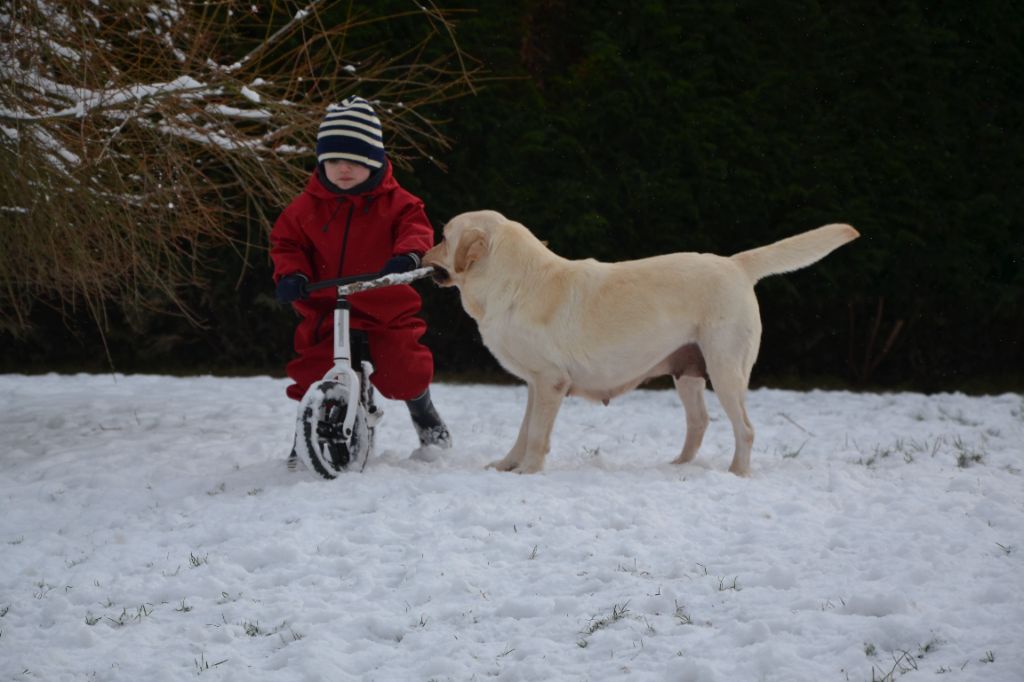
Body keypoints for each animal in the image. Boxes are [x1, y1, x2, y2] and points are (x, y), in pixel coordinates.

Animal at [421, 209, 856, 475]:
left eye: (442, 237)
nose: (421, 255)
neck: (512, 282)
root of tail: (734, 264)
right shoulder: (534, 384)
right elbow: (523, 431)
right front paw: (507, 465)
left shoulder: (549, 382)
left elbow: (537, 435)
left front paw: (528, 470)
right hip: (689, 373)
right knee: (699, 422)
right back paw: (678, 466)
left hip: (726, 370)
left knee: (745, 429)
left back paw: (737, 473)